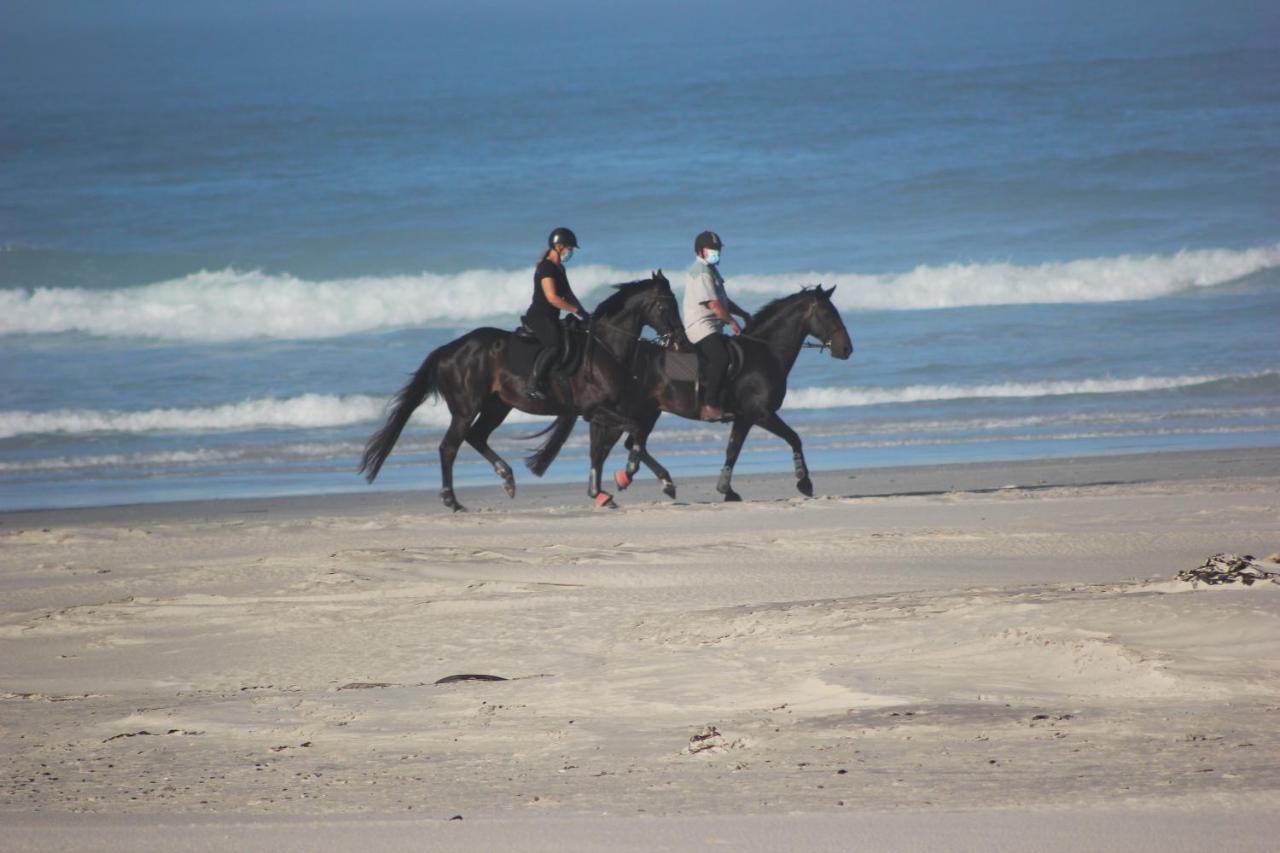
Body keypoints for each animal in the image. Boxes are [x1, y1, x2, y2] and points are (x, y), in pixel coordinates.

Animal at [360, 272, 691, 507]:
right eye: (666, 304)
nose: (682, 342)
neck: (605, 347)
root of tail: (448, 350)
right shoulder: (595, 410)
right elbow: (632, 433)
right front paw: (629, 475)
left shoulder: (600, 412)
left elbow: (603, 448)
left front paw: (602, 492)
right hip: (466, 409)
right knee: (449, 447)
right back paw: (451, 500)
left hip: (497, 406)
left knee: (477, 437)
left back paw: (507, 479)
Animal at [524, 281, 855, 502]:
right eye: (829, 314)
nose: (846, 349)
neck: (764, 353)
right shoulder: (761, 413)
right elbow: (794, 438)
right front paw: (804, 482)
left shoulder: (745, 417)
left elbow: (733, 450)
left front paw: (726, 489)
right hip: (634, 411)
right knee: (619, 443)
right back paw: (627, 481)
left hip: (647, 412)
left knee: (625, 443)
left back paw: (634, 483)